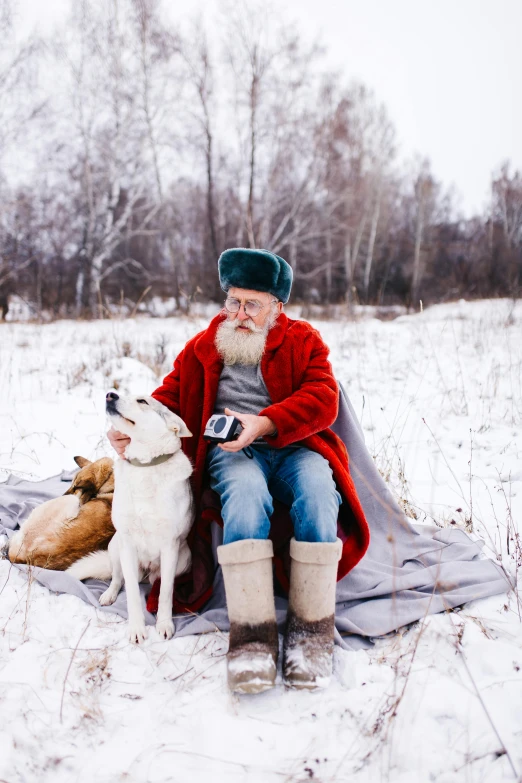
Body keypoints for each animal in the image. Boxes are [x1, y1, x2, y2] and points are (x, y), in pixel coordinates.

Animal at [67, 392, 193, 644]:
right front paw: (136, 628)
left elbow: (165, 593)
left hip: (184, 559)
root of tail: (145, 571)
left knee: (156, 584)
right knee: (118, 579)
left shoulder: (170, 545)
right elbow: (133, 594)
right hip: (116, 548)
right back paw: (108, 595)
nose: (110, 394)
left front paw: (164, 624)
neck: (146, 466)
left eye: (143, 401)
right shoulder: (127, 543)